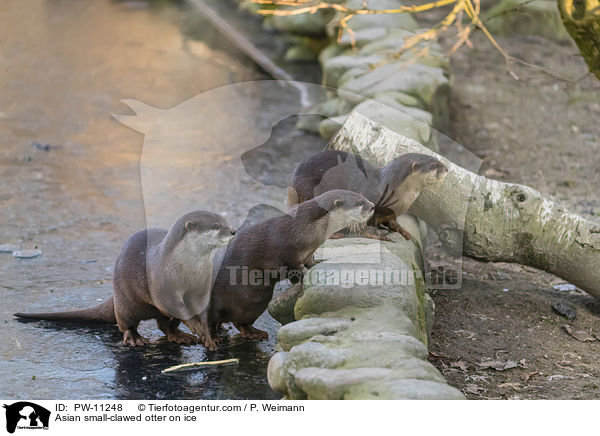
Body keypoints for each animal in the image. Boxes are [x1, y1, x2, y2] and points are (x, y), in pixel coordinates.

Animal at [14, 209, 234, 346]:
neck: (186, 268)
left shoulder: (202, 285)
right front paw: (197, 326)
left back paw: (179, 336)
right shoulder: (162, 285)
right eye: (216, 225)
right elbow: (175, 305)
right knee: (126, 323)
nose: (233, 231)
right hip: (125, 301)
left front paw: (209, 333)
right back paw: (135, 339)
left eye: (225, 222)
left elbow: (201, 306)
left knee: (164, 324)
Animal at [288, 149, 448, 238]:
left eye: (438, 161)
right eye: (435, 166)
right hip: (309, 192)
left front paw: (402, 231)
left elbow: (392, 221)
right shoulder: (369, 204)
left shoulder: (392, 213)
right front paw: (376, 234)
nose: (447, 169)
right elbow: (364, 223)